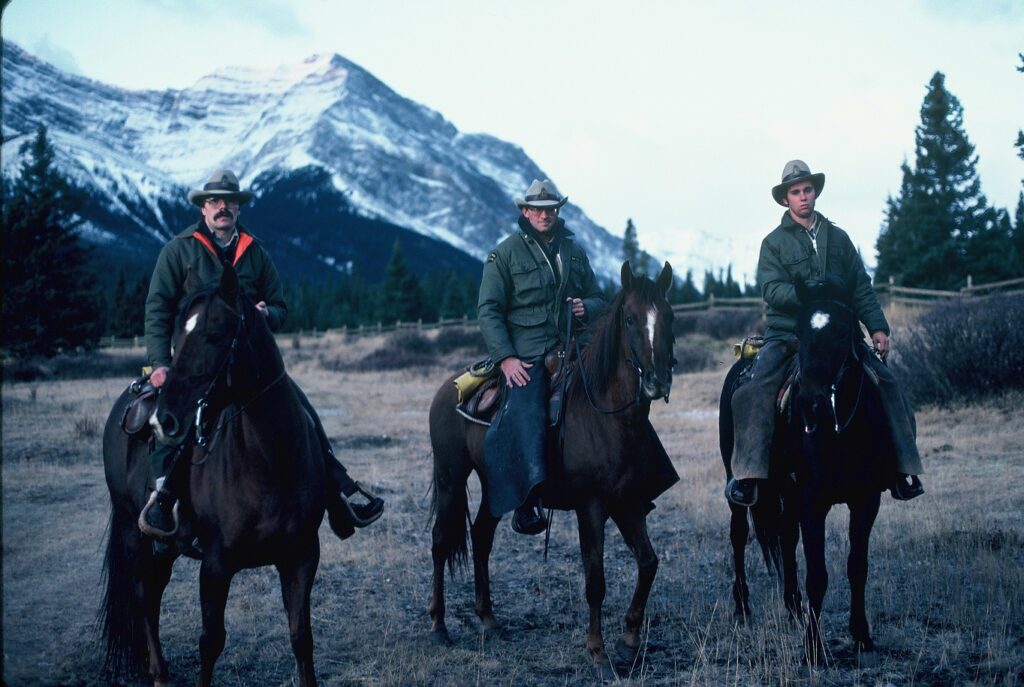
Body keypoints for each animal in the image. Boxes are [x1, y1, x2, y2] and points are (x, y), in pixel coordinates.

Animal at [99, 264, 323, 687]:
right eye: (177, 336)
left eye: (215, 336)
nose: (164, 420)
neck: (269, 462)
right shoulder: (216, 565)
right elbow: (211, 642)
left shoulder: (302, 556)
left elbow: (301, 637)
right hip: (132, 531)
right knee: (144, 599)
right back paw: (158, 673)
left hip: (165, 547)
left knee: (154, 592)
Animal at [425, 261, 675, 675]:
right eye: (629, 318)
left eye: (669, 316)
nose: (657, 381)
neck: (607, 416)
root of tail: (449, 388)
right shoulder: (591, 506)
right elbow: (595, 579)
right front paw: (597, 652)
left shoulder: (628, 502)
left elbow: (649, 562)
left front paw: (628, 642)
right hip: (450, 478)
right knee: (441, 541)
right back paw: (439, 625)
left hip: (499, 484)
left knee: (481, 536)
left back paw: (489, 620)